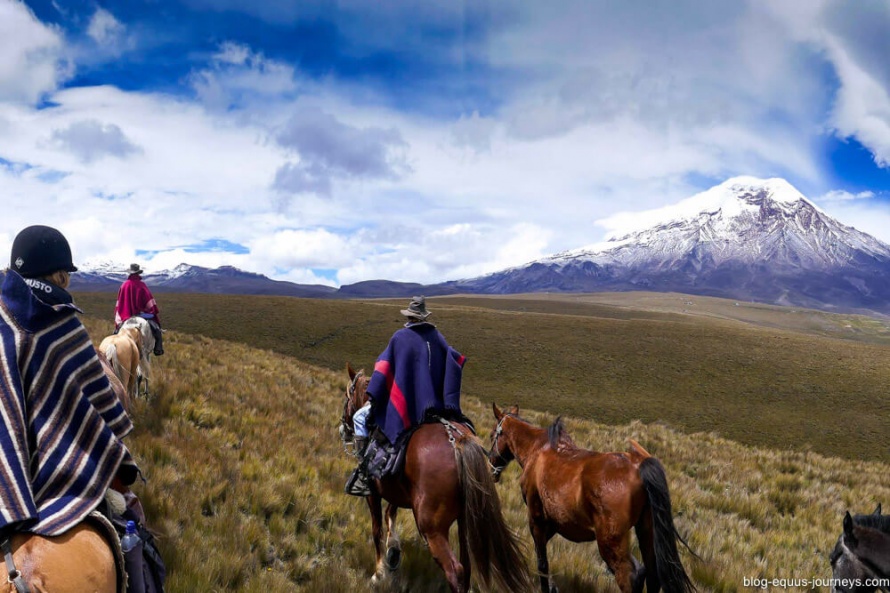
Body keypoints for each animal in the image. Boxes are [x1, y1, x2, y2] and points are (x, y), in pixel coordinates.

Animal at [340, 360, 532, 592]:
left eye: (347, 397)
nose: (343, 428)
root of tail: (459, 442)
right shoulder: (398, 490)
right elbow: (390, 513)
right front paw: (393, 552)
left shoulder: (373, 493)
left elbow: (377, 528)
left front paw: (379, 573)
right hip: (465, 520)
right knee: (466, 566)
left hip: (432, 527)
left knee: (455, 570)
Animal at [486, 404, 692, 592]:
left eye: (492, 435)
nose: (491, 468)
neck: (537, 450)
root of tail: (638, 466)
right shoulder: (554, 522)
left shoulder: (536, 519)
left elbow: (542, 563)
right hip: (646, 532)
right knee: (651, 574)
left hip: (610, 542)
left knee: (629, 576)